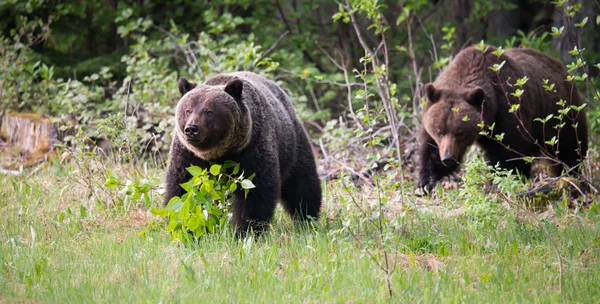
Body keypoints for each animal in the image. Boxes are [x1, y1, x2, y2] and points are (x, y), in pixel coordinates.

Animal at [164, 71, 324, 235]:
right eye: (187, 110)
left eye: (209, 111)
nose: (191, 128)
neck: (219, 153)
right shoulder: (188, 156)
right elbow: (182, 189)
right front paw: (185, 228)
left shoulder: (251, 148)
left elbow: (255, 191)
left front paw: (245, 230)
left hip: (292, 145)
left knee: (302, 184)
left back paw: (307, 219)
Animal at [418, 45, 584, 192]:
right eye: (439, 131)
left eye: (460, 133)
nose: (447, 158)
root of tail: (559, 64)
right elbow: (431, 149)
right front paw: (425, 183)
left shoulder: (507, 112)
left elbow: (508, 153)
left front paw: (497, 182)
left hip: (562, 114)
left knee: (569, 147)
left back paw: (570, 173)